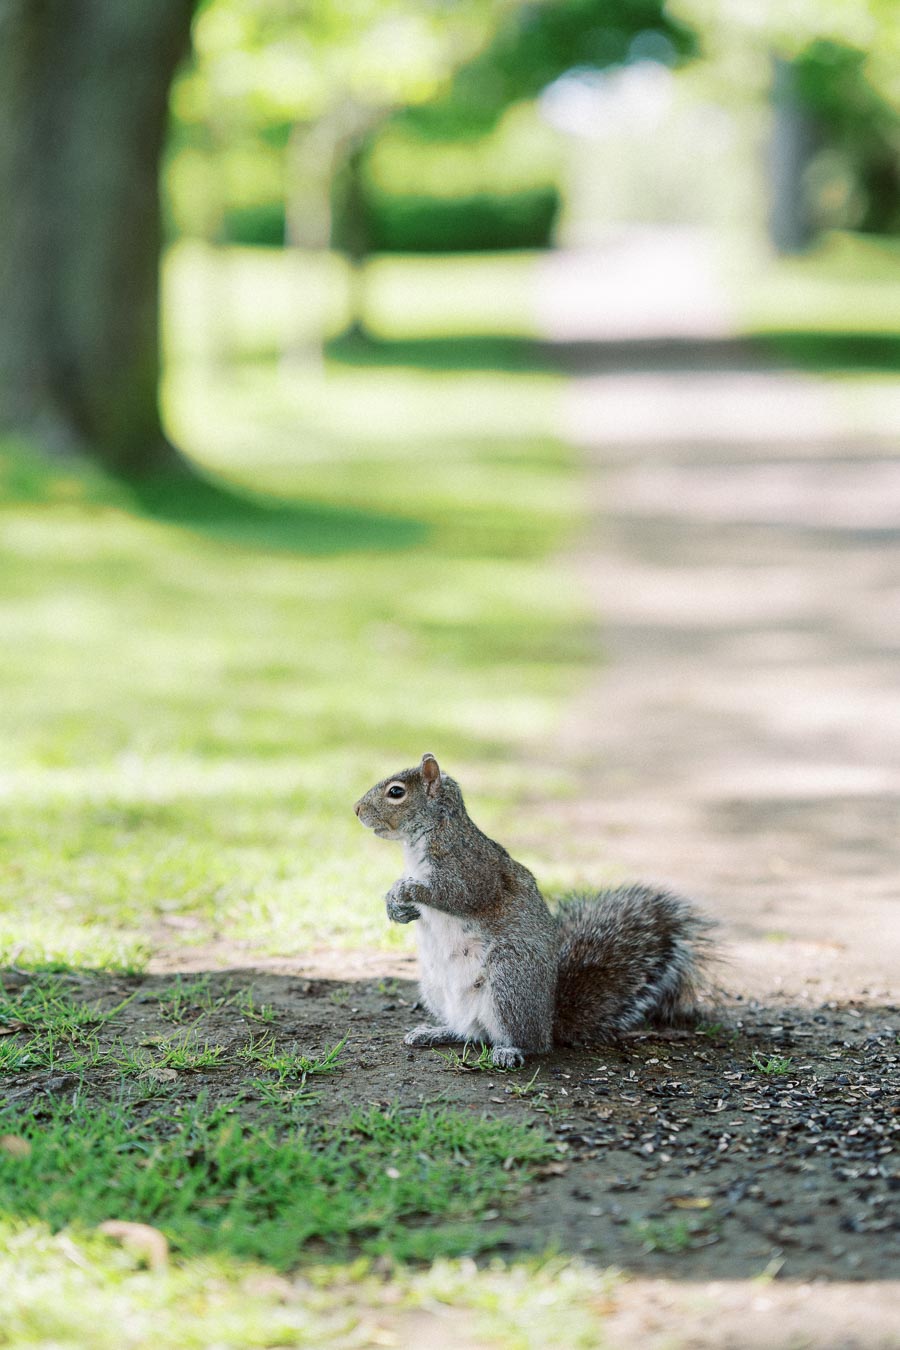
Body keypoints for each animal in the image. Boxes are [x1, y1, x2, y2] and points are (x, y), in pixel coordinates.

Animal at [354, 752, 714, 1068]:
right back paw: (435, 1033)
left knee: (523, 1041)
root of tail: (548, 1022)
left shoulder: (472, 870)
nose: (356, 809)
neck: (424, 838)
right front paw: (395, 907)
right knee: (469, 1032)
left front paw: (407, 891)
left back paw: (508, 1051)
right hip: (435, 987)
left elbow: (457, 894)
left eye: (396, 792)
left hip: (509, 979)